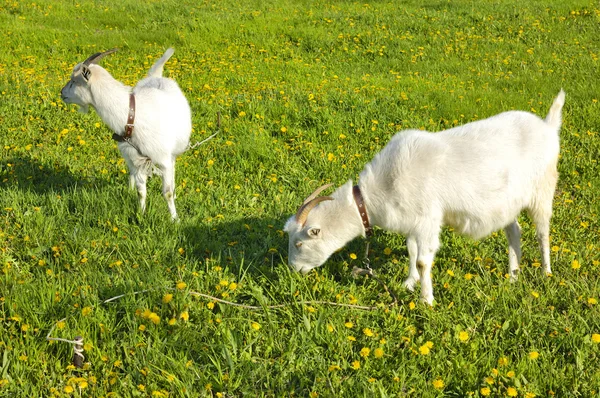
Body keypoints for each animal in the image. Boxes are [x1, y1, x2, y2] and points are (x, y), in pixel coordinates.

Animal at [58, 48, 190, 221]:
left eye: (74, 81)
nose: (61, 93)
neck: (131, 114)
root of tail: (156, 77)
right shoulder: (134, 157)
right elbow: (141, 192)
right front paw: (141, 215)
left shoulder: (163, 159)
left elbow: (166, 193)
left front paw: (175, 220)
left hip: (172, 153)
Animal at [284, 91, 564, 304]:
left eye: (299, 243)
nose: (293, 270)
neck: (382, 187)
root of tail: (547, 126)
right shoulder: (411, 220)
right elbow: (410, 251)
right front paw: (409, 283)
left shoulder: (428, 219)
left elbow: (422, 260)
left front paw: (426, 299)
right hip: (508, 204)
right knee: (514, 231)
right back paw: (513, 276)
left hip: (543, 189)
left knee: (542, 233)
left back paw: (546, 273)